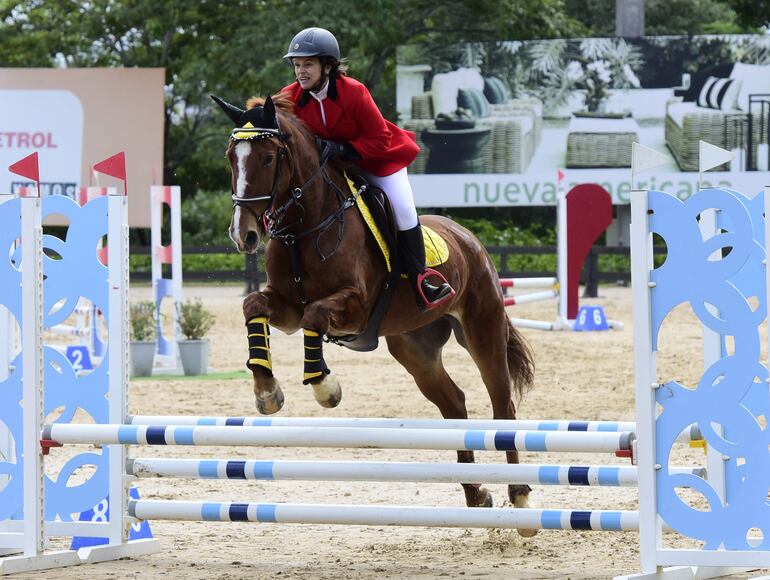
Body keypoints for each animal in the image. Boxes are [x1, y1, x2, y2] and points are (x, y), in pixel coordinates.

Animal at [210, 93, 536, 524]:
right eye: (232, 157)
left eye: (266, 158)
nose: (243, 234)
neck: (305, 226)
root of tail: (469, 239)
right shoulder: (286, 308)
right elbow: (253, 305)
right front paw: (267, 392)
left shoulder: (355, 307)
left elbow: (317, 315)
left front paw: (325, 389)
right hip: (415, 349)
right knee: (454, 403)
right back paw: (475, 493)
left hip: (483, 331)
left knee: (503, 406)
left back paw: (520, 496)